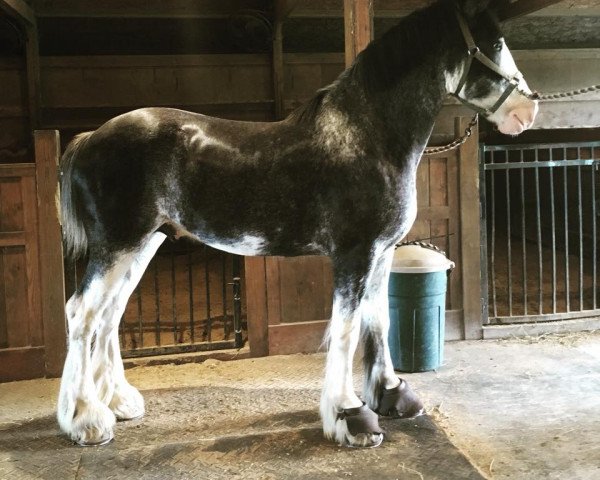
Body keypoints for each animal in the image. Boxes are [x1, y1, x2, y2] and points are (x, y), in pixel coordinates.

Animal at [57, 0, 540, 450]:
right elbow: (345, 331)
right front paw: (350, 417)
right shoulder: (354, 255)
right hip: (117, 247)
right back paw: (86, 420)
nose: (527, 110)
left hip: (142, 246)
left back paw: (119, 402)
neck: (366, 136)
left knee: (110, 315)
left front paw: (392, 395)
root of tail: (88, 139)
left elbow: (379, 322)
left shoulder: (382, 253)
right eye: (495, 42)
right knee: (82, 313)